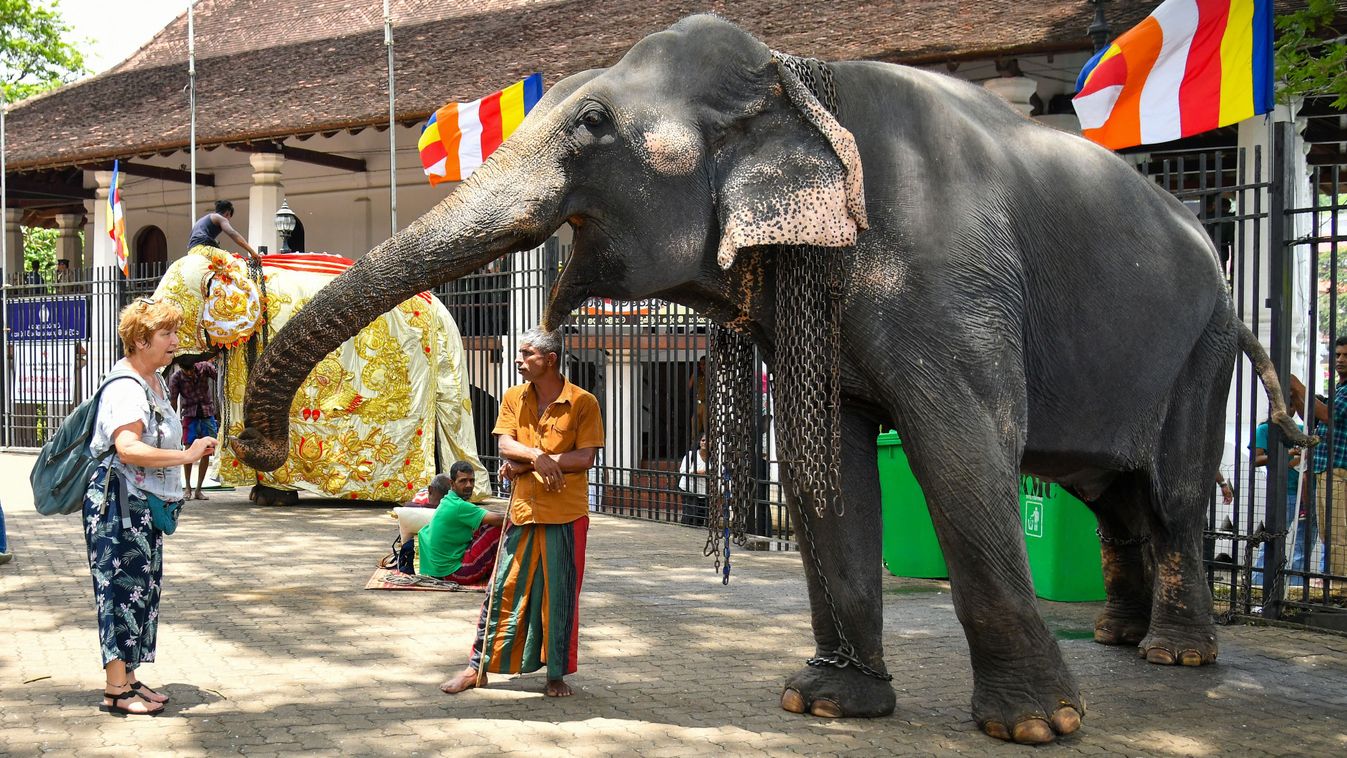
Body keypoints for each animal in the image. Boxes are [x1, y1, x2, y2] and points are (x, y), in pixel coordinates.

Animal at [234, 15, 1310, 744]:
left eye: (592, 125)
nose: (258, 445)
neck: (800, 81)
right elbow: (823, 454)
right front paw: (824, 702)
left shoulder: (952, 277)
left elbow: (962, 451)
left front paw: (1034, 728)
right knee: (1109, 490)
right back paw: (1127, 638)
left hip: (1206, 339)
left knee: (1172, 491)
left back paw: (1174, 653)